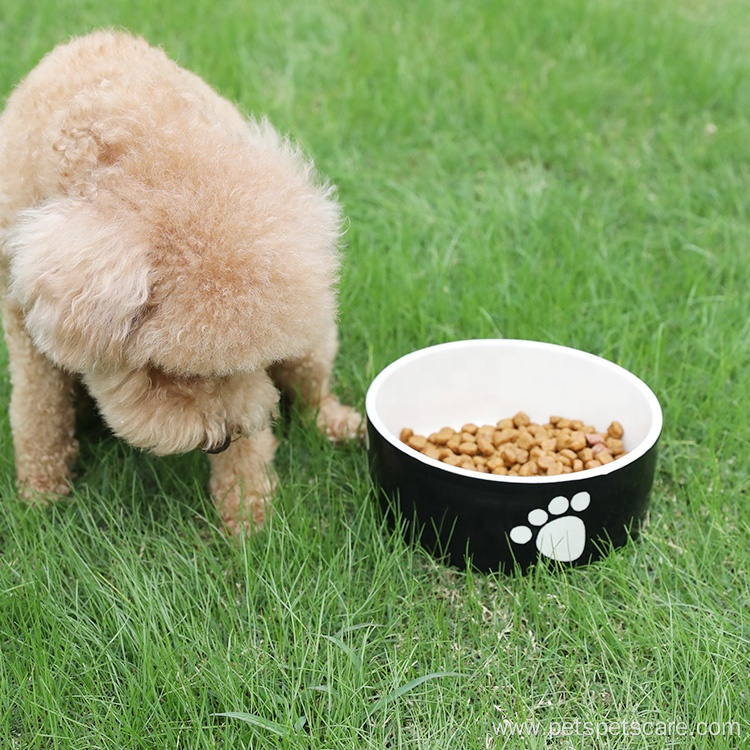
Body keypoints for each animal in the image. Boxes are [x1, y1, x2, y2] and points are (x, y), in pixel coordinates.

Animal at [0, 30, 364, 536]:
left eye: (252, 363)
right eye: (175, 372)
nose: (224, 437)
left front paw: (249, 518)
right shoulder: (21, 319)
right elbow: (37, 409)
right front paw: (41, 495)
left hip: (309, 349)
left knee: (313, 393)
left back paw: (340, 424)